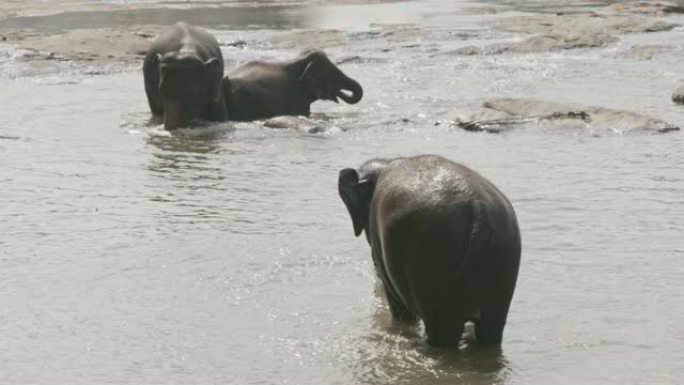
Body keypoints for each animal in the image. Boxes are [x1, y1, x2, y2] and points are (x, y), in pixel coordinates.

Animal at [340, 154, 520, 346]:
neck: (386, 162)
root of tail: (480, 212)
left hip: (432, 256)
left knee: (443, 331)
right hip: (501, 264)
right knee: (491, 329)